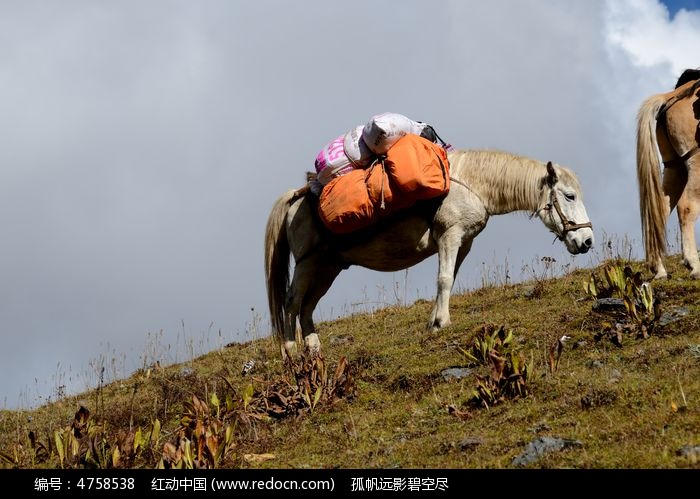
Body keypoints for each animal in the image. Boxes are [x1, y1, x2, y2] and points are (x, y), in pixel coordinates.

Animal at [266, 148, 592, 356]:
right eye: (569, 196)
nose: (587, 241)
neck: (470, 184)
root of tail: (297, 197)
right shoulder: (450, 235)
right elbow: (444, 279)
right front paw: (443, 322)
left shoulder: (463, 242)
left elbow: (448, 279)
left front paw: (434, 322)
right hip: (308, 263)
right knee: (292, 303)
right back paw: (290, 351)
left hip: (328, 267)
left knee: (307, 307)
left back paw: (314, 349)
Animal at [636, 69, 700, 282]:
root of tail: (671, 95)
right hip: (696, 164)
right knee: (687, 207)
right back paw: (694, 266)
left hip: (675, 167)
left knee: (660, 211)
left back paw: (659, 269)